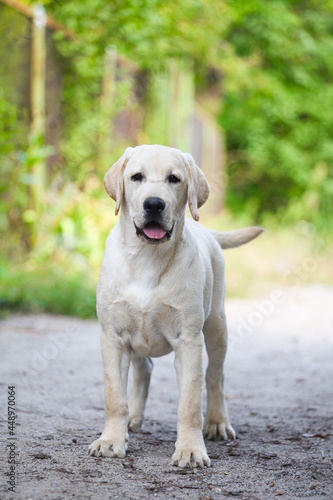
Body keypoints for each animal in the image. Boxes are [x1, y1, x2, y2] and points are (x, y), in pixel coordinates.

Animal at [88, 145, 262, 468]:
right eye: (136, 177)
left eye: (174, 179)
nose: (154, 204)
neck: (147, 257)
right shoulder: (113, 336)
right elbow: (114, 396)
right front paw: (111, 441)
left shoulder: (188, 340)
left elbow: (190, 403)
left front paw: (190, 449)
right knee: (144, 370)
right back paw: (133, 419)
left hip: (216, 325)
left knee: (215, 376)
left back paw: (217, 423)